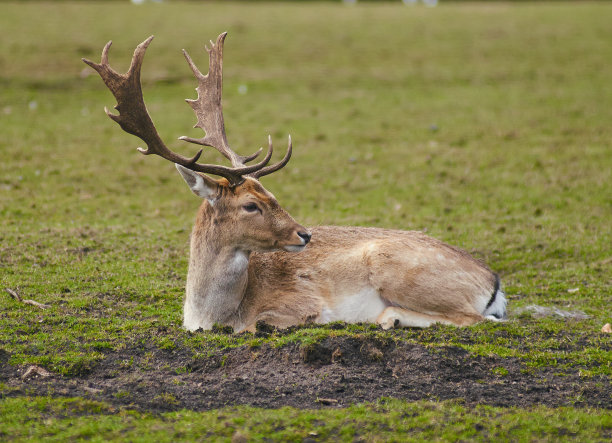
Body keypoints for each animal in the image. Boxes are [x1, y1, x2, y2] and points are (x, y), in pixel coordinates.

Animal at [85, 32, 506, 332]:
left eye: (272, 194)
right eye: (251, 204)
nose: (304, 234)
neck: (209, 315)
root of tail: (494, 282)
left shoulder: (302, 299)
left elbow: (264, 325)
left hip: (400, 271)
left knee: (478, 319)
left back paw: (389, 318)